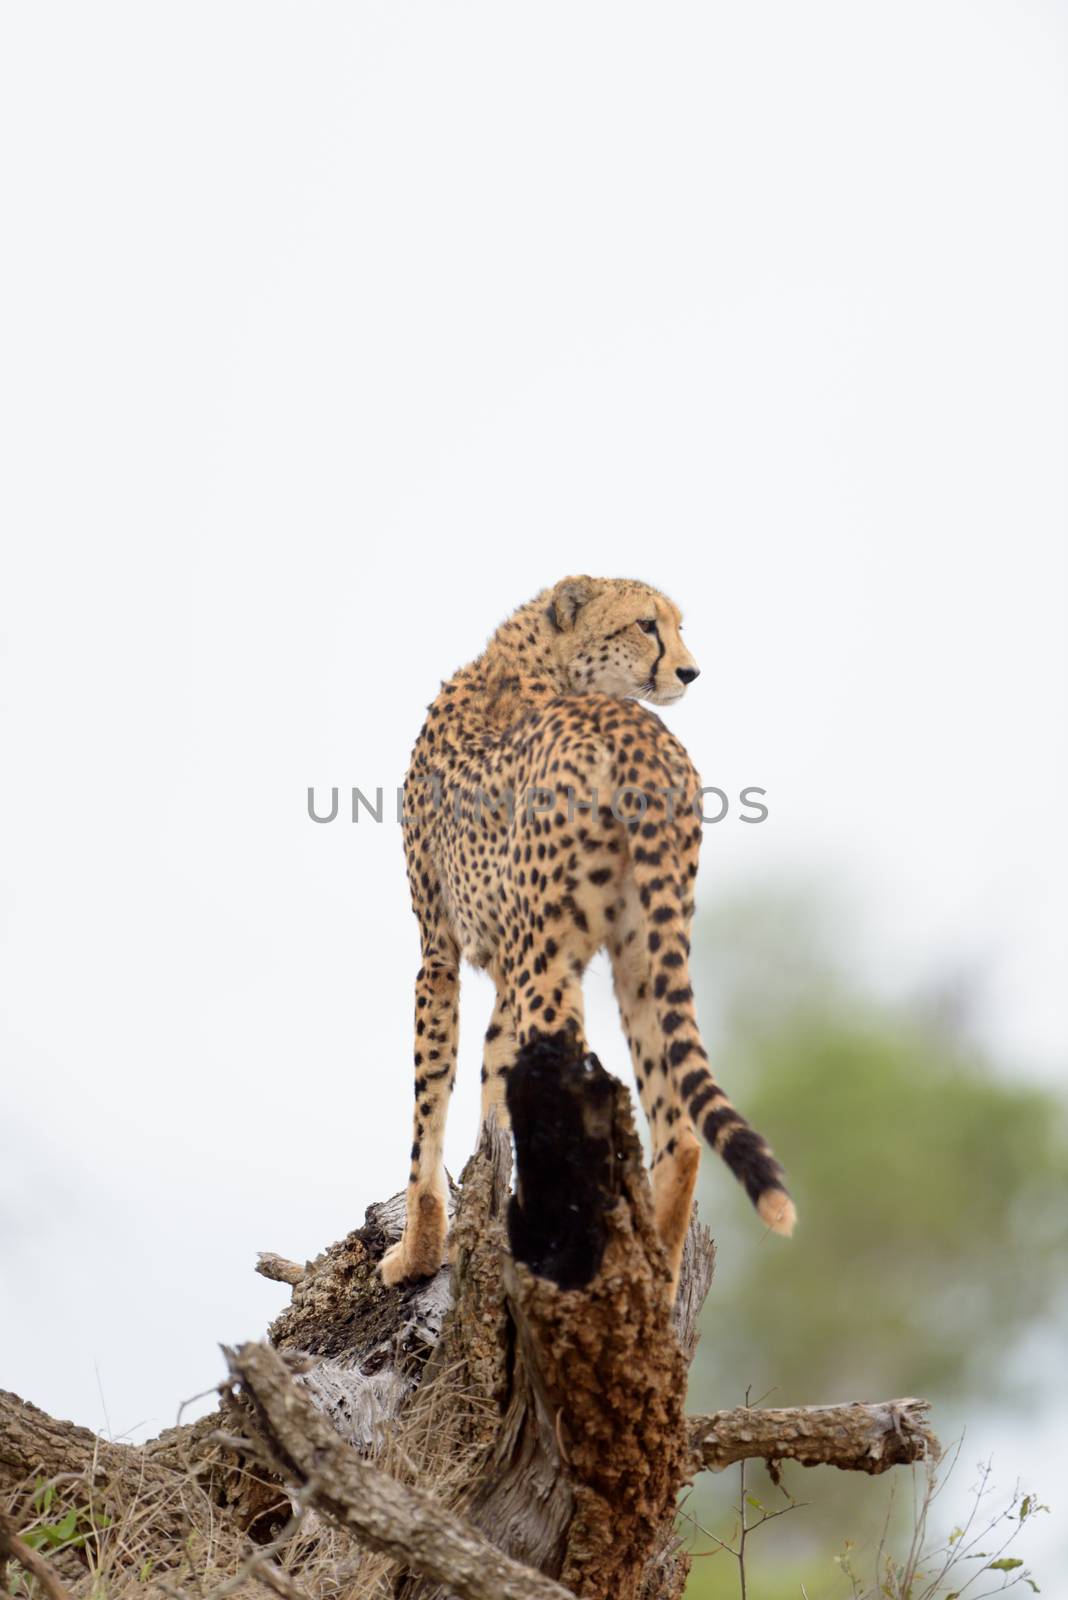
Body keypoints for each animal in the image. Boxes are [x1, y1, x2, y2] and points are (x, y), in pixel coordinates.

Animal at [382, 579, 793, 1299]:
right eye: (647, 625)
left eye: (674, 626)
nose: (690, 671)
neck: (536, 662)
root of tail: (633, 726)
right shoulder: (509, 959)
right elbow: (494, 1086)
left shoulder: (441, 950)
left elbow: (428, 1103)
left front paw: (418, 1252)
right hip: (643, 952)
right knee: (681, 1132)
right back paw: (654, 1282)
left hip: (553, 966)